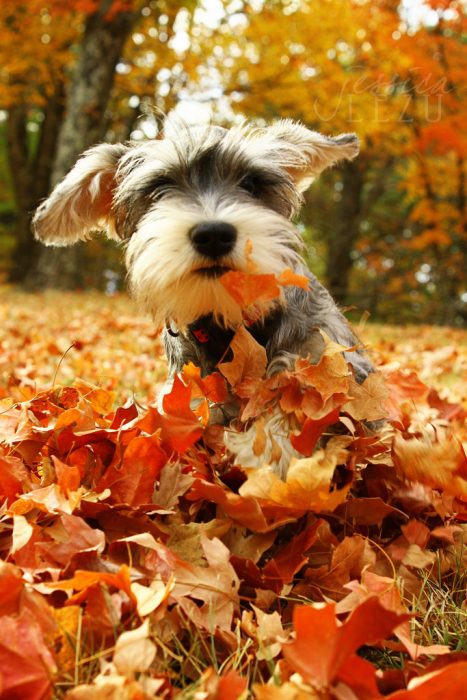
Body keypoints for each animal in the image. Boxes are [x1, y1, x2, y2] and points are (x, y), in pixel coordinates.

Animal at [33, 120, 374, 478]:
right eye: (160, 187)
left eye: (251, 182)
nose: (213, 234)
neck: (231, 325)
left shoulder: (330, 363)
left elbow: (295, 401)